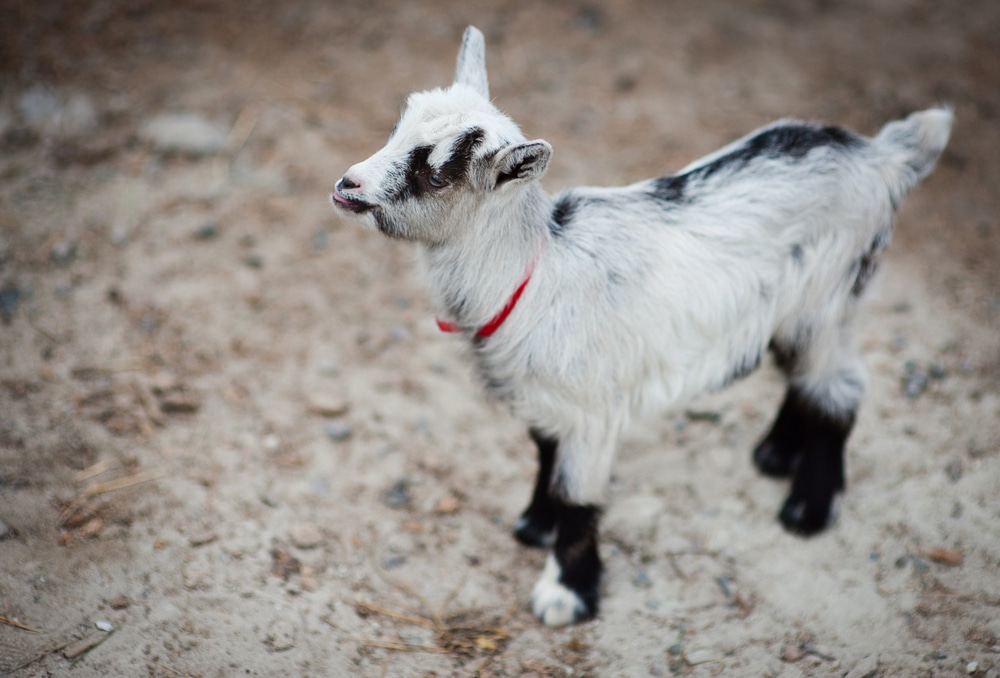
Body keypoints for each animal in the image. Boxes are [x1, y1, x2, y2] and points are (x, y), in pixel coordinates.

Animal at [331, 26, 952, 626]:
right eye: (397, 128)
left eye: (436, 175)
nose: (347, 186)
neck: (535, 270)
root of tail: (882, 154)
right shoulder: (547, 396)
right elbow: (545, 455)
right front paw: (535, 526)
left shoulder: (592, 409)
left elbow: (578, 494)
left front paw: (567, 595)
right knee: (805, 376)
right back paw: (774, 455)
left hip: (829, 296)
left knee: (839, 387)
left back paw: (807, 509)